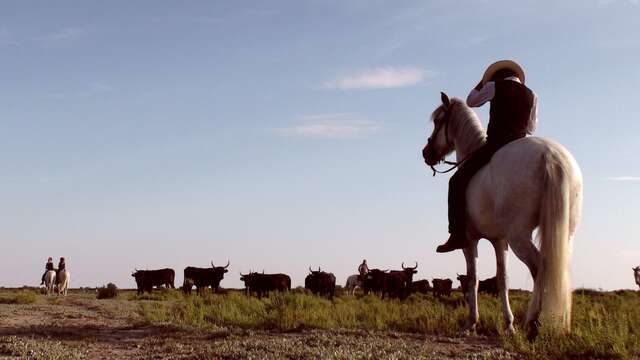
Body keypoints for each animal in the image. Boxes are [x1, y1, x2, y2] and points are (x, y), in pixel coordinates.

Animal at [422, 93, 584, 338]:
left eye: (438, 121)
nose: (426, 152)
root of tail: (550, 155)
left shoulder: (470, 240)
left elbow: (473, 279)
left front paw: (471, 323)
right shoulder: (500, 241)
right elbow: (502, 279)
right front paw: (508, 325)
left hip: (520, 236)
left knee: (540, 268)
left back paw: (534, 323)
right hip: (565, 234)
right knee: (558, 270)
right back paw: (558, 324)